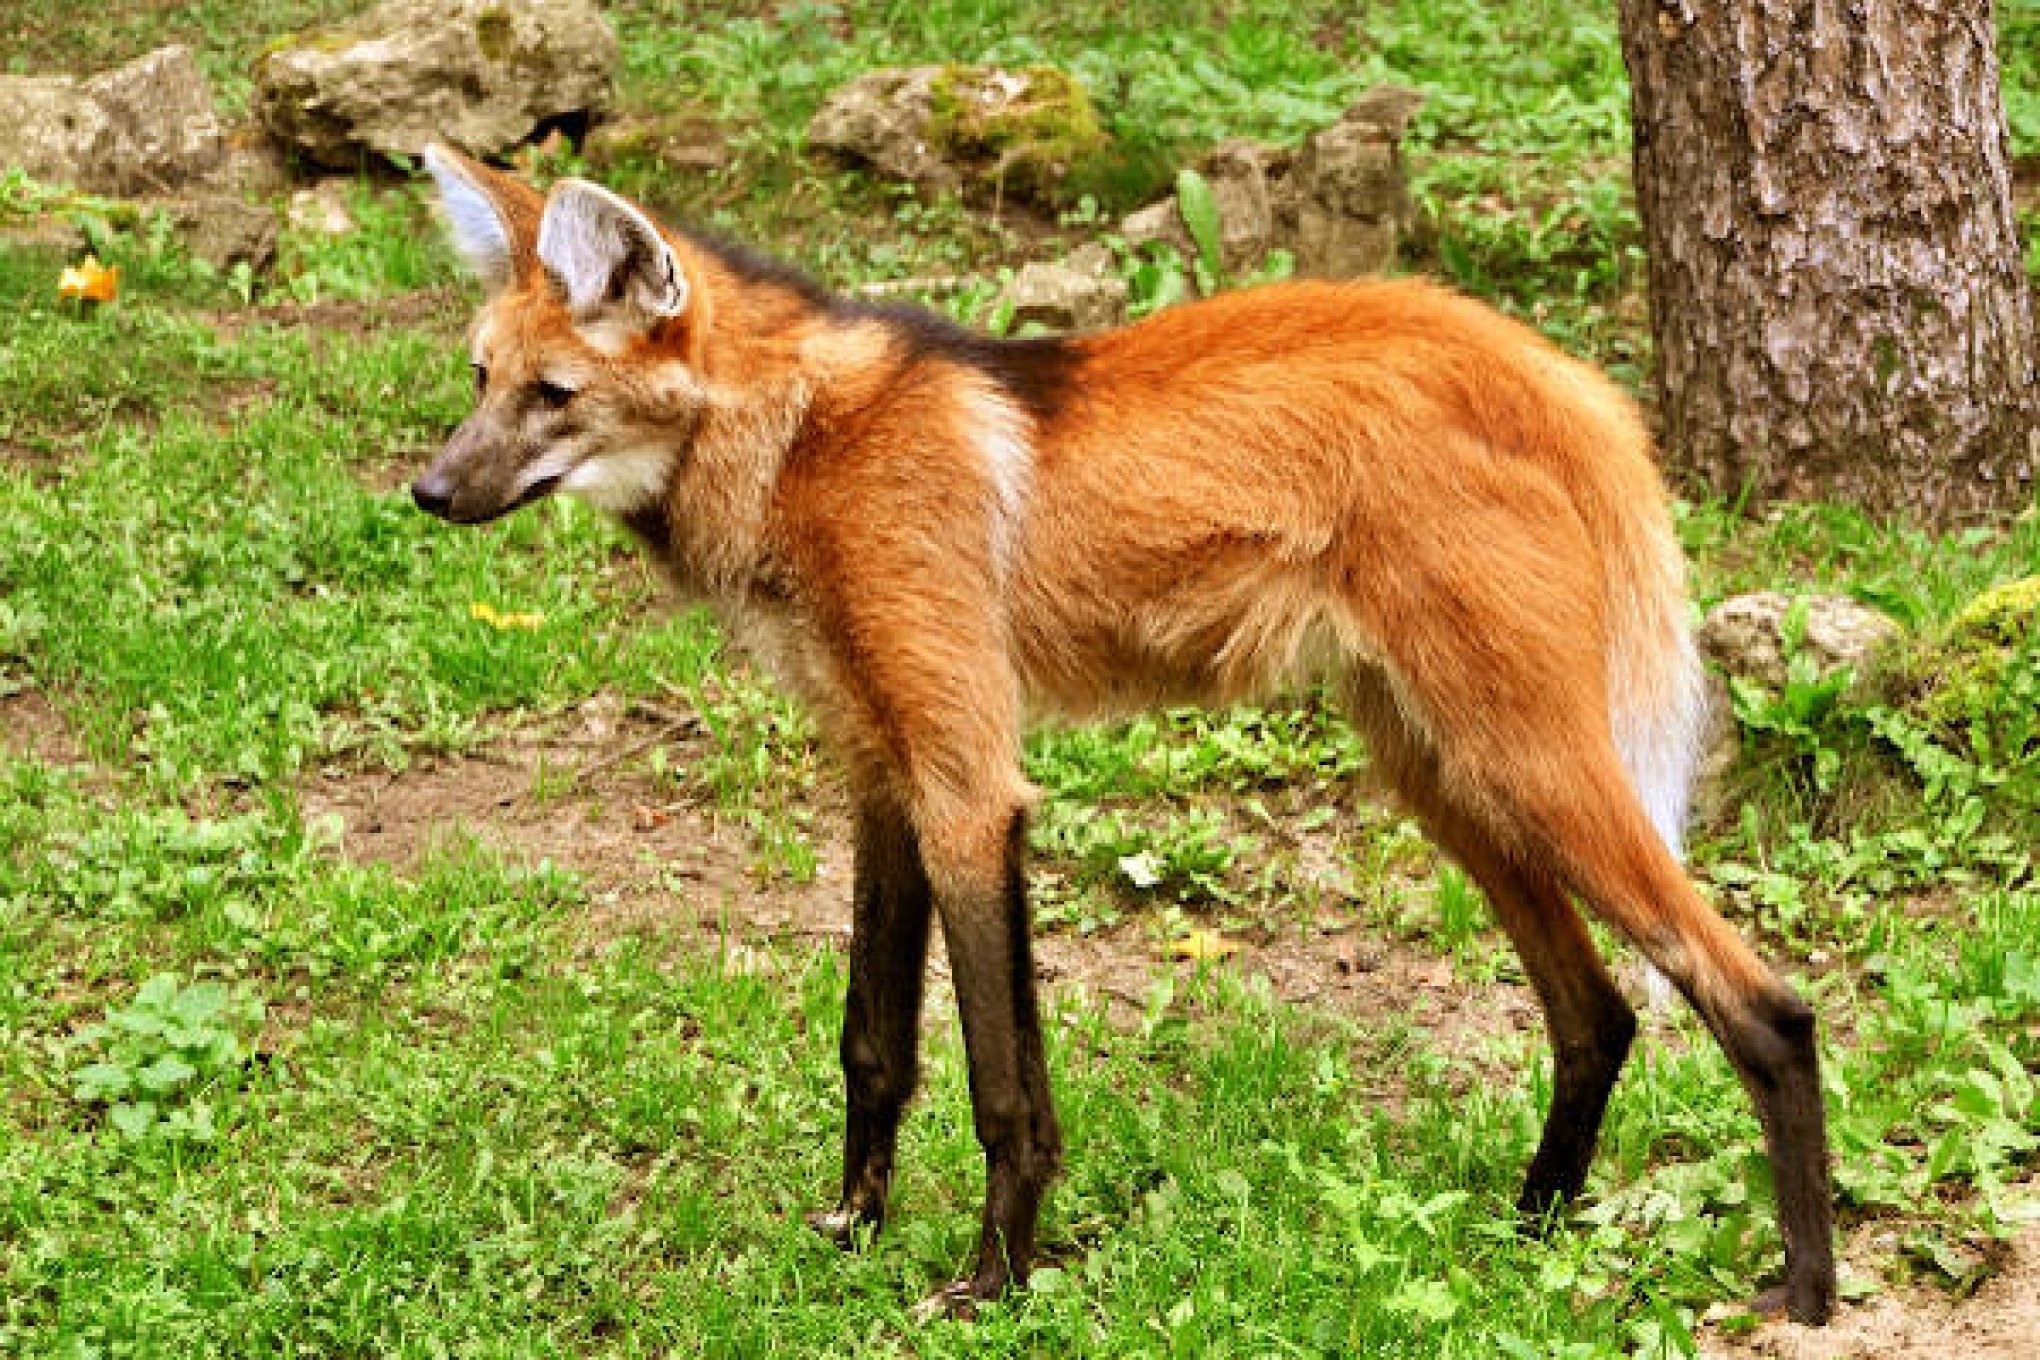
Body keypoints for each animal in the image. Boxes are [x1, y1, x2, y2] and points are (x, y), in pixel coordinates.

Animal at [410, 146, 1836, 1321]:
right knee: (1598, 1010)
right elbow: (873, 1042)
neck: (799, 445)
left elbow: (1000, 1082)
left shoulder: (968, 785)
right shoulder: (882, 767)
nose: (427, 490)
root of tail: (1556, 372)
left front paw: (991, 1280)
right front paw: (855, 1228)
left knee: (1763, 1005)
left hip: (1524, 759)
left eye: (554, 392)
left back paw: (1807, 1292)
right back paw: (1526, 1229)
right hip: (1438, 769)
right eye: (479, 380)